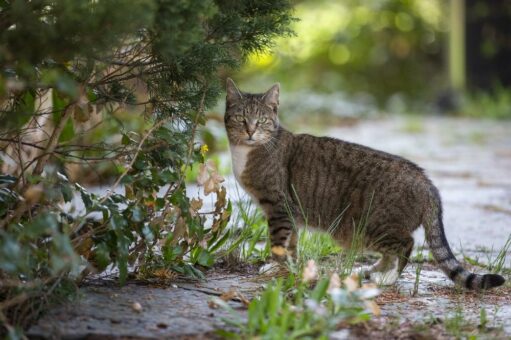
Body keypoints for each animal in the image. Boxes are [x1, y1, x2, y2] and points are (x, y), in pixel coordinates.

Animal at [226, 79, 506, 290]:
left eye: (262, 121)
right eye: (240, 118)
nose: (250, 130)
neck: (246, 152)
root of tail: (428, 184)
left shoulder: (278, 207)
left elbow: (278, 241)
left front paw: (274, 265)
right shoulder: (290, 213)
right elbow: (291, 243)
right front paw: (290, 266)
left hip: (369, 226)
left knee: (406, 245)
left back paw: (387, 278)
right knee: (391, 252)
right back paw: (371, 270)